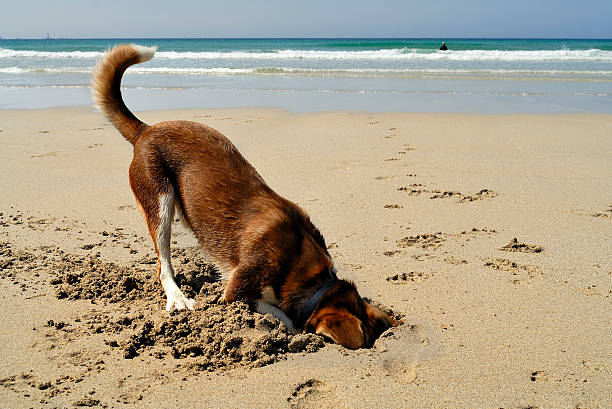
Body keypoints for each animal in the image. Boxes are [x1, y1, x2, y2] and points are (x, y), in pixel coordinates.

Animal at [92, 43, 396, 348]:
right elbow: (280, 314)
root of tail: (146, 130)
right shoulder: (237, 291)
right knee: (163, 263)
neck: (308, 273)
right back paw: (178, 298)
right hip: (160, 203)